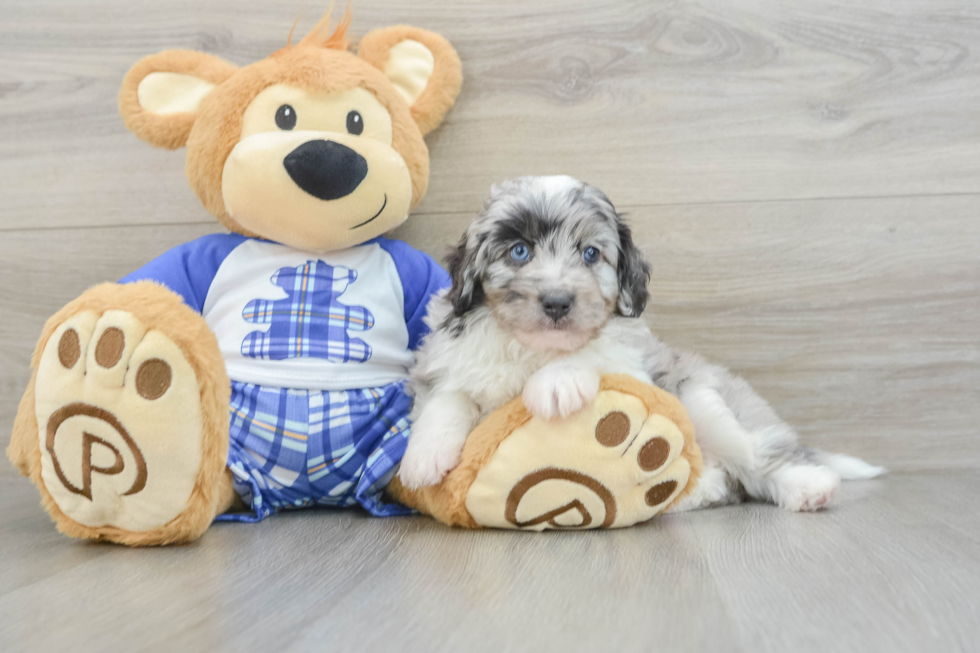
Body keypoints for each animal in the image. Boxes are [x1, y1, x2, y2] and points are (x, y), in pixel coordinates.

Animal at [394, 176, 884, 512]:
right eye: (519, 251)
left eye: (591, 254)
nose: (557, 301)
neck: (535, 348)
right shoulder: (444, 359)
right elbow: (447, 397)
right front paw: (424, 456)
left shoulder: (634, 363)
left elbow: (595, 352)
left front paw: (555, 383)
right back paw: (694, 491)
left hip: (705, 401)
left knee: (756, 459)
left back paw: (808, 486)